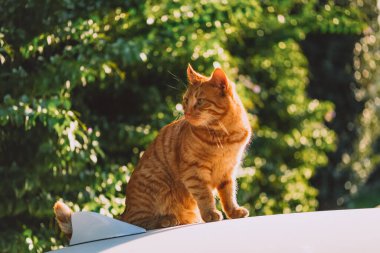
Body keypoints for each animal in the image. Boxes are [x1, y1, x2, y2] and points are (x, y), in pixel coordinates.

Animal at [54, 64, 252, 234]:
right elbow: (205, 196)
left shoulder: (228, 171)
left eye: (200, 101)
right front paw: (210, 214)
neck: (224, 135)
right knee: (139, 222)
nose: (186, 112)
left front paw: (234, 212)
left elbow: (229, 195)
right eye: (186, 100)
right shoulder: (194, 171)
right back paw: (167, 219)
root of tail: (124, 212)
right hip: (157, 184)